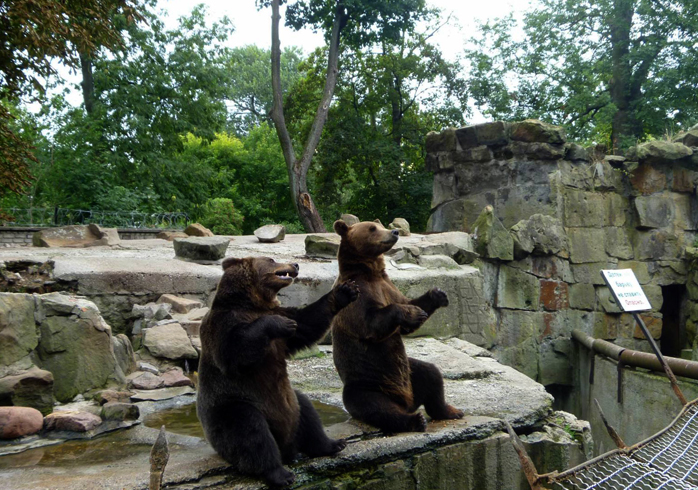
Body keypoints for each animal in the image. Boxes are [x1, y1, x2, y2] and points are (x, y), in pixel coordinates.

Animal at [197, 256, 356, 486]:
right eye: (271, 259)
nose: (296, 265)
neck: (252, 303)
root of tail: (286, 447)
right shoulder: (223, 325)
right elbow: (234, 352)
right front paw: (277, 324)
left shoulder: (282, 318)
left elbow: (306, 323)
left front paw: (345, 291)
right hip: (233, 407)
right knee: (251, 431)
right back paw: (280, 473)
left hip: (291, 402)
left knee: (307, 411)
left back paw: (332, 444)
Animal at [330, 219, 462, 432]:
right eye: (372, 228)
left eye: (380, 224)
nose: (394, 232)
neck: (371, 273)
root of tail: (405, 401)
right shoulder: (356, 297)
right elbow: (371, 323)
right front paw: (414, 312)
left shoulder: (388, 287)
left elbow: (408, 308)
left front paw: (438, 294)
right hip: (368, 383)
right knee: (377, 406)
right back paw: (416, 420)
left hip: (409, 371)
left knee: (431, 374)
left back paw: (451, 411)